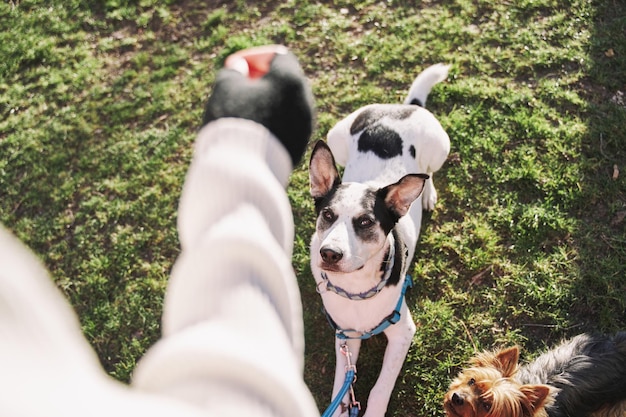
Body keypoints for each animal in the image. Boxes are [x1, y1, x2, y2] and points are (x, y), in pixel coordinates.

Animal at [310, 63, 450, 414]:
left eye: (365, 221)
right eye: (327, 215)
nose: (329, 254)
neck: (356, 290)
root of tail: (402, 107)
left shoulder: (403, 332)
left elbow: (380, 388)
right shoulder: (345, 337)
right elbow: (341, 388)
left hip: (440, 148)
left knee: (428, 173)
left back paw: (426, 194)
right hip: (335, 136)